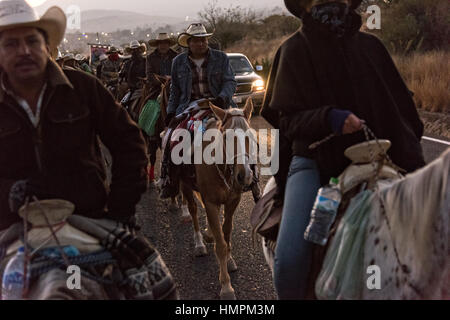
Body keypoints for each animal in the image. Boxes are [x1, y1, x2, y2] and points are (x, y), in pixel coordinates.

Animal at [178, 98, 256, 300]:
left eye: (250, 136)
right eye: (226, 137)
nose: (244, 175)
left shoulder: (232, 201)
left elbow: (226, 234)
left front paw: (229, 260)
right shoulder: (211, 203)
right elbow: (220, 245)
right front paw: (226, 286)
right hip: (185, 185)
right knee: (193, 210)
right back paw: (199, 243)